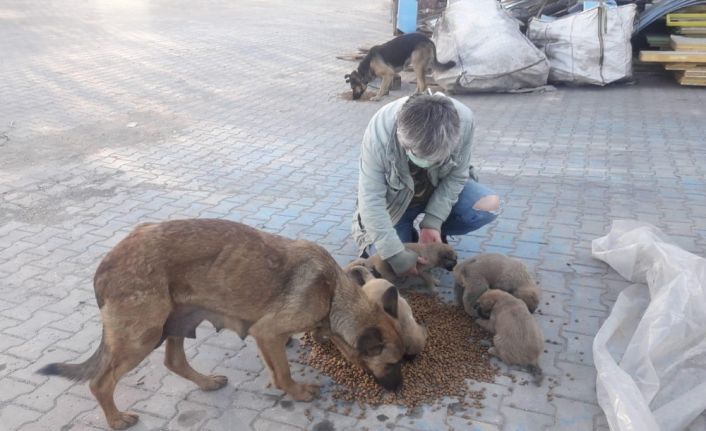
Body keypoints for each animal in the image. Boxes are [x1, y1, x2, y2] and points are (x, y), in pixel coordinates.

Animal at [38, 221, 404, 430]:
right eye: (392, 365)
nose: (400, 390)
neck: (332, 295)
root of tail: (105, 264)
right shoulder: (266, 333)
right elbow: (283, 373)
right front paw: (298, 392)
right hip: (143, 336)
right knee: (100, 382)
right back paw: (116, 419)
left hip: (178, 321)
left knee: (174, 361)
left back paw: (206, 382)